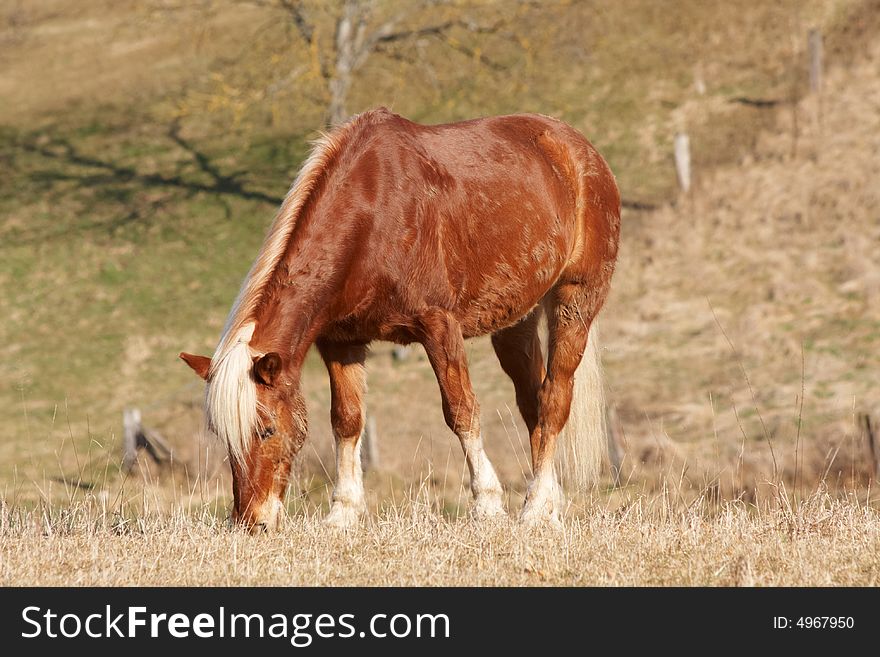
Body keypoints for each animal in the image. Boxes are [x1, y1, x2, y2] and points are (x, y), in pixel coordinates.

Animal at [179, 106, 620, 528]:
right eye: (223, 437)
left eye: (266, 430)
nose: (249, 522)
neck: (371, 217)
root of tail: (580, 150)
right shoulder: (340, 341)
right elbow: (347, 420)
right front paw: (343, 513)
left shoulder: (439, 326)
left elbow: (461, 411)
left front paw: (487, 504)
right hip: (516, 321)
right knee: (533, 407)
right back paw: (549, 509)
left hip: (575, 301)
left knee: (554, 400)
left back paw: (534, 507)